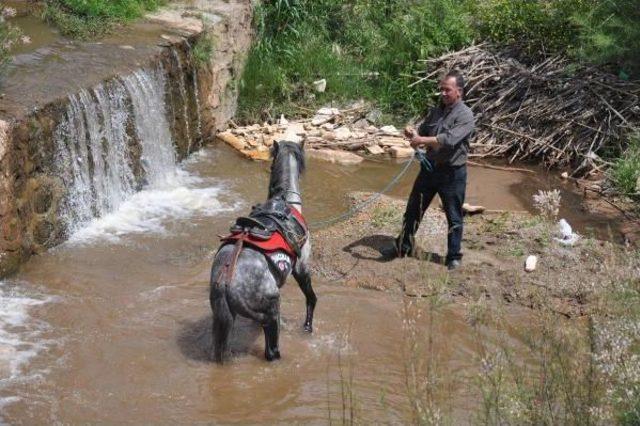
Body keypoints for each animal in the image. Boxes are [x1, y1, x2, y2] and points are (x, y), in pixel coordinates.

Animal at [211, 141, 316, 362]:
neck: (285, 202)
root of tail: (225, 282)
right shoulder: (301, 268)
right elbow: (311, 299)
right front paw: (308, 327)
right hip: (271, 311)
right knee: (272, 351)